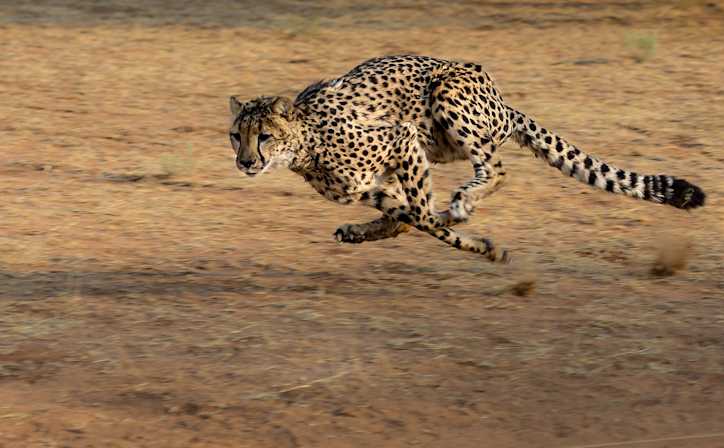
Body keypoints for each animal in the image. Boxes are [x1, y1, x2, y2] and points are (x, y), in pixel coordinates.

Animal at [228, 55, 705, 263]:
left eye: (264, 136)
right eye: (236, 136)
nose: (245, 162)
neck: (306, 144)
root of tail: (502, 100)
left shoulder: (401, 138)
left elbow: (423, 215)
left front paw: (476, 239)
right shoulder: (372, 186)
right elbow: (410, 217)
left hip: (447, 97)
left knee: (495, 169)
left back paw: (462, 202)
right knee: (413, 213)